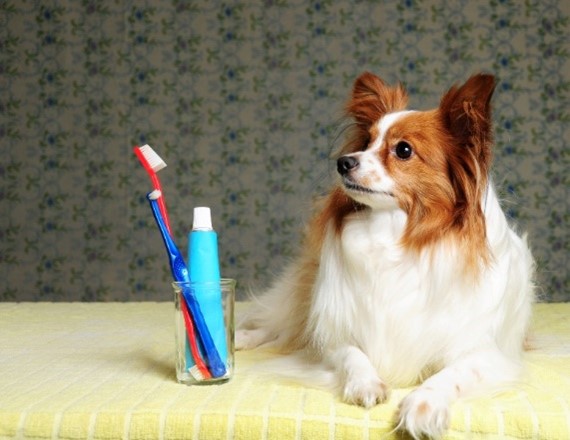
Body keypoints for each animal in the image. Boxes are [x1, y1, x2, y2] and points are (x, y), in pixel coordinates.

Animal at [236, 71, 532, 436]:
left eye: (403, 150)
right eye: (365, 143)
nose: (343, 162)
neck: (395, 236)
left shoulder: (486, 353)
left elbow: (452, 374)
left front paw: (424, 404)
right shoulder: (333, 336)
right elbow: (352, 354)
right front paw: (365, 382)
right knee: (284, 322)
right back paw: (241, 337)